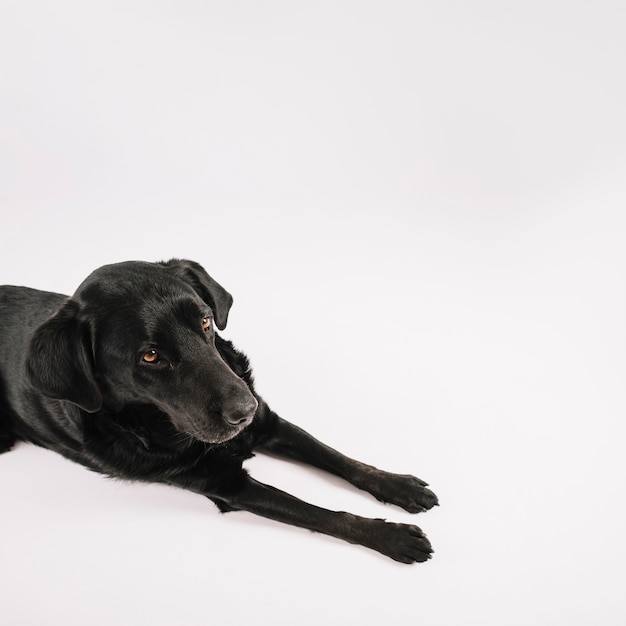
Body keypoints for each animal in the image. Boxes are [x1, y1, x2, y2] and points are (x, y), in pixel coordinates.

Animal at [0, 258, 436, 560]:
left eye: (207, 322)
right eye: (150, 355)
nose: (244, 409)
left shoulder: (269, 424)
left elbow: (341, 458)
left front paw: (399, 485)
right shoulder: (227, 485)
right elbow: (319, 513)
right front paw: (391, 535)